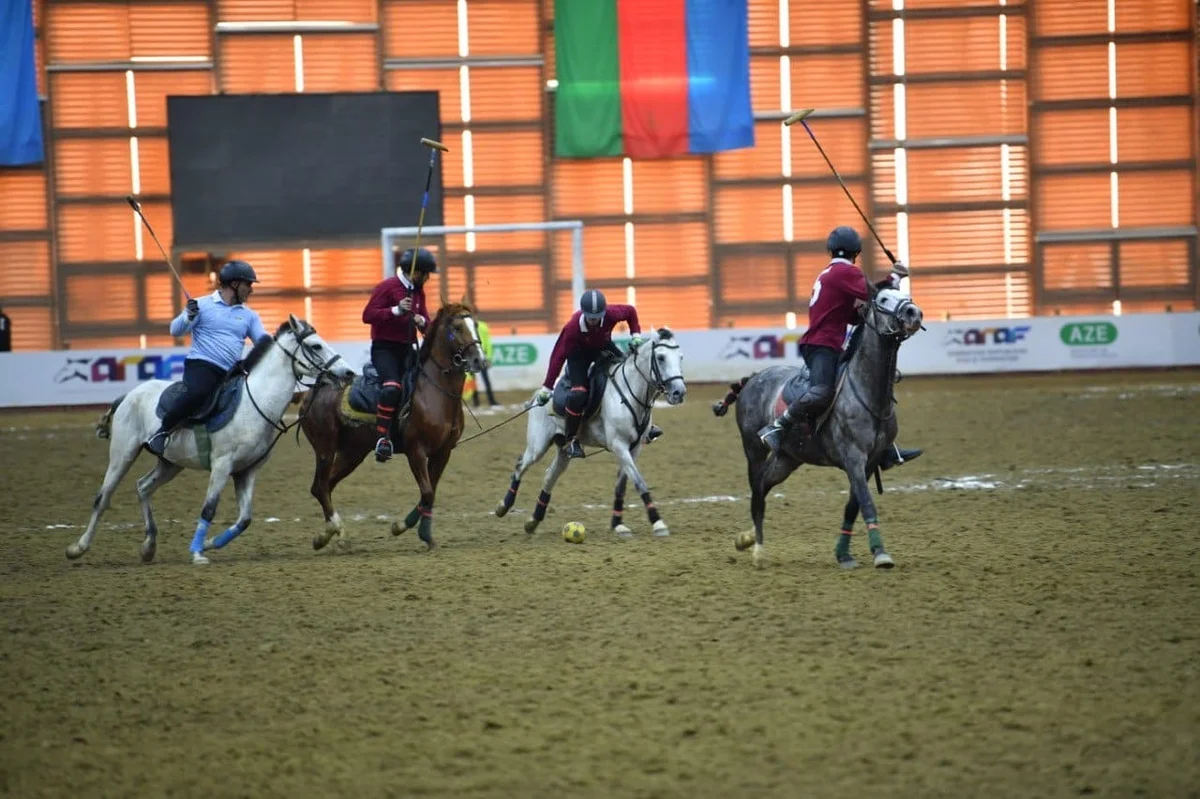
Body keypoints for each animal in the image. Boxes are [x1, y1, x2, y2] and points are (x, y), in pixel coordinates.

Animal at [66, 314, 352, 563]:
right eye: (315, 345)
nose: (348, 372)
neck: (254, 403)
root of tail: (128, 395)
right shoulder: (222, 465)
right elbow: (209, 509)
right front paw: (197, 552)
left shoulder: (247, 470)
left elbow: (244, 519)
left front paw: (209, 543)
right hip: (123, 453)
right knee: (103, 497)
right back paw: (78, 547)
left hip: (170, 463)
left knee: (143, 487)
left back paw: (149, 546)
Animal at [300, 302, 487, 551]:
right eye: (456, 327)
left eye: (474, 324)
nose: (479, 361)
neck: (435, 392)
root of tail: (312, 391)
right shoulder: (415, 451)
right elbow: (427, 492)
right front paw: (404, 528)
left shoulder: (443, 452)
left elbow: (430, 495)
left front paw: (421, 534)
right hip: (325, 448)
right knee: (320, 487)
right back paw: (331, 533)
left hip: (351, 453)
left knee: (325, 486)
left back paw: (327, 535)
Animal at [494, 326, 686, 537]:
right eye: (661, 357)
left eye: (680, 357)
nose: (679, 392)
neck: (630, 394)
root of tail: (540, 394)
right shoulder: (619, 445)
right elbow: (639, 482)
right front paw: (657, 522)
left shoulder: (633, 448)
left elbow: (621, 486)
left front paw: (618, 524)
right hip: (538, 444)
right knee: (521, 465)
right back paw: (504, 506)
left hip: (563, 449)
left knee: (549, 475)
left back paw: (533, 520)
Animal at [705, 286, 921, 566]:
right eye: (883, 298)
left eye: (907, 296)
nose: (914, 312)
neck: (868, 391)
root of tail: (753, 378)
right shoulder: (853, 457)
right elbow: (866, 502)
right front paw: (881, 553)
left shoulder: (869, 461)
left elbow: (853, 505)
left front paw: (843, 553)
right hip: (754, 449)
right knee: (756, 491)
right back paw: (758, 550)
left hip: (788, 457)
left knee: (762, 484)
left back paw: (748, 538)